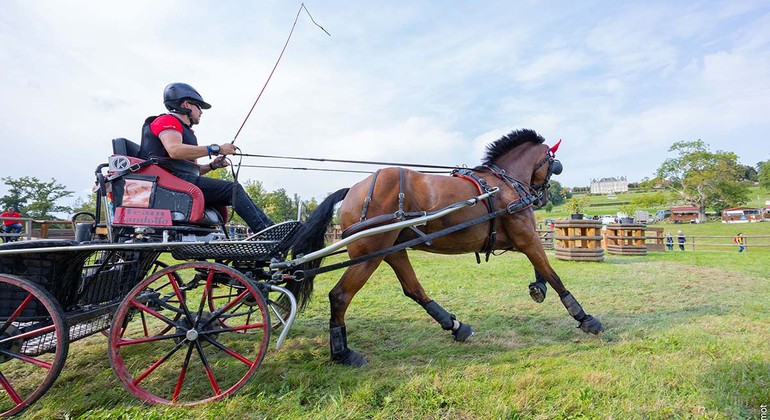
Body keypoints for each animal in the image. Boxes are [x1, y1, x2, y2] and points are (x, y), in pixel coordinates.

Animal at [284, 129, 603, 366]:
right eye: (554, 164)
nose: (541, 196)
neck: (504, 184)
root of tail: (353, 190)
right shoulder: (526, 236)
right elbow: (553, 273)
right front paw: (585, 318)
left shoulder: (516, 239)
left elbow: (541, 267)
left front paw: (538, 288)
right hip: (368, 255)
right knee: (340, 296)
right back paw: (342, 352)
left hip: (392, 250)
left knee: (413, 289)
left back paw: (455, 326)